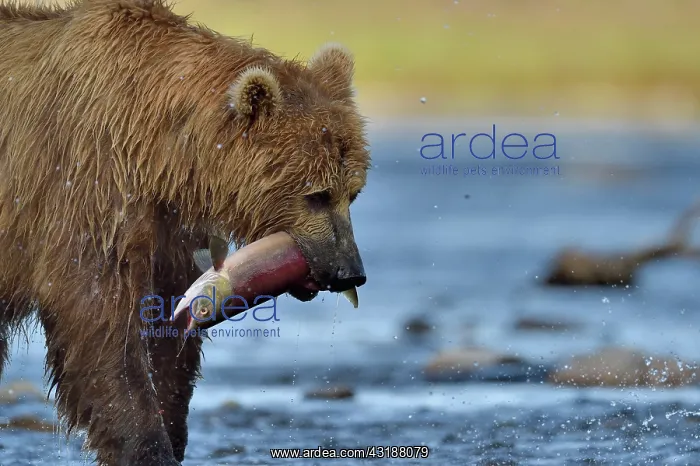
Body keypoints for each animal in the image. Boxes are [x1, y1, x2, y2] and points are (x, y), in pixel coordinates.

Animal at [0, 1, 370, 465]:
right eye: (317, 194)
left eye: (353, 193)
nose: (349, 271)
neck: (162, 153)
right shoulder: (86, 182)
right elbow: (96, 317)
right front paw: (144, 444)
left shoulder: (171, 227)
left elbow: (169, 326)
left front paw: (171, 426)